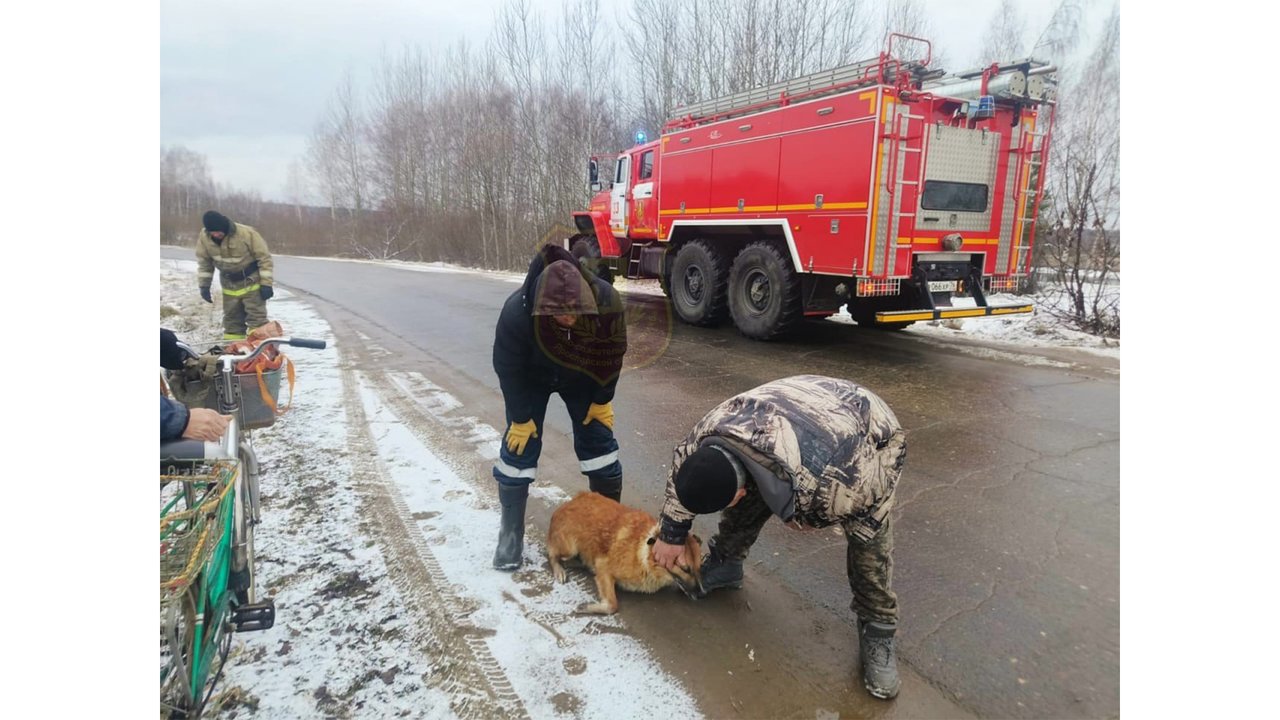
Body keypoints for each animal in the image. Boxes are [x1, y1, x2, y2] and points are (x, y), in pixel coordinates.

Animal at [545, 489, 706, 614]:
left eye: (700, 567)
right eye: (685, 569)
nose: (702, 593)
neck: (643, 555)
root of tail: (571, 501)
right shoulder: (603, 567)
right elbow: (612, 605)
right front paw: (588, 607)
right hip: (569, 548)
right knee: (552, 554)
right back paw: (560, 569)